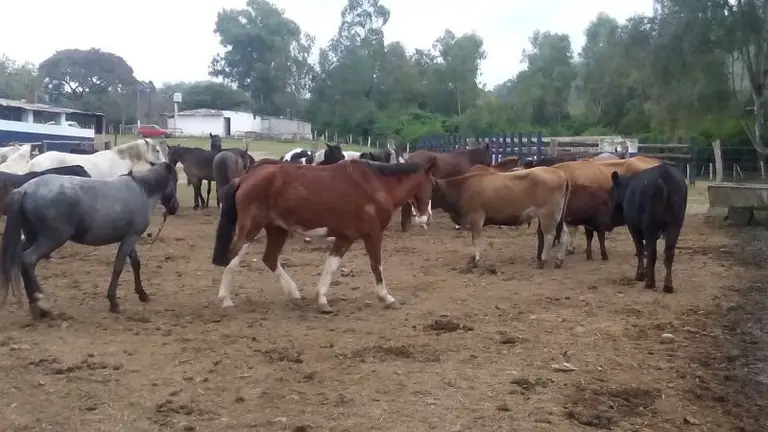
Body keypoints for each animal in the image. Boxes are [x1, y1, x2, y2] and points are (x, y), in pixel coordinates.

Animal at [0, 162, 179, 319]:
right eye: (175, 180)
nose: (175, 207)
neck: (142, 190)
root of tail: (24, 190)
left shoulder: (128, 237)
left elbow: (136, 264)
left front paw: (142, 294)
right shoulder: (130, 237)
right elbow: (119, 266)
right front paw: (113, 302)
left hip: (32, 238)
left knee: (23, 263)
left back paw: (36, 307)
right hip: (51, 240)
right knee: (27, 260)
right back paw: (42, 304)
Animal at [211, 157, 437, 313]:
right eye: (432, 185)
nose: (425, 217)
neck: (377, 184)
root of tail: (244, 178)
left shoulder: (346, 237)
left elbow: (331, 266)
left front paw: (321, 300)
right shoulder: (372, 234)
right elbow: (376, 265)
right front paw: (386, 297)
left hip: (277, 229)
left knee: (270, 258)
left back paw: (294, 294)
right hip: (251, 228)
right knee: (233, 256)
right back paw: (225, 300)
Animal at [431, 166, 571, 270]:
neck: (462, 187)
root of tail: (560, 173)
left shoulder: (476, 218)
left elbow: (476, 240)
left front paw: (475, 261)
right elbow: (472, 239)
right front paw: (471, 259)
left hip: (548, 214)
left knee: (549, 235)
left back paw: (542, 260)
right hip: (559, 215)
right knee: (564, 234)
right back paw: (559, 261)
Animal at [609, 163, 687, 293]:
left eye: (611, 191)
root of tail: (665, 175)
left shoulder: (633, 227)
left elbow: (640, 249)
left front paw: (640, 274)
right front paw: (645, 271)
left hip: (650, 226)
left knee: (652, 253)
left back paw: (650, 283)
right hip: (675, 225)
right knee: (669, 254)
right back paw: (668, 286)